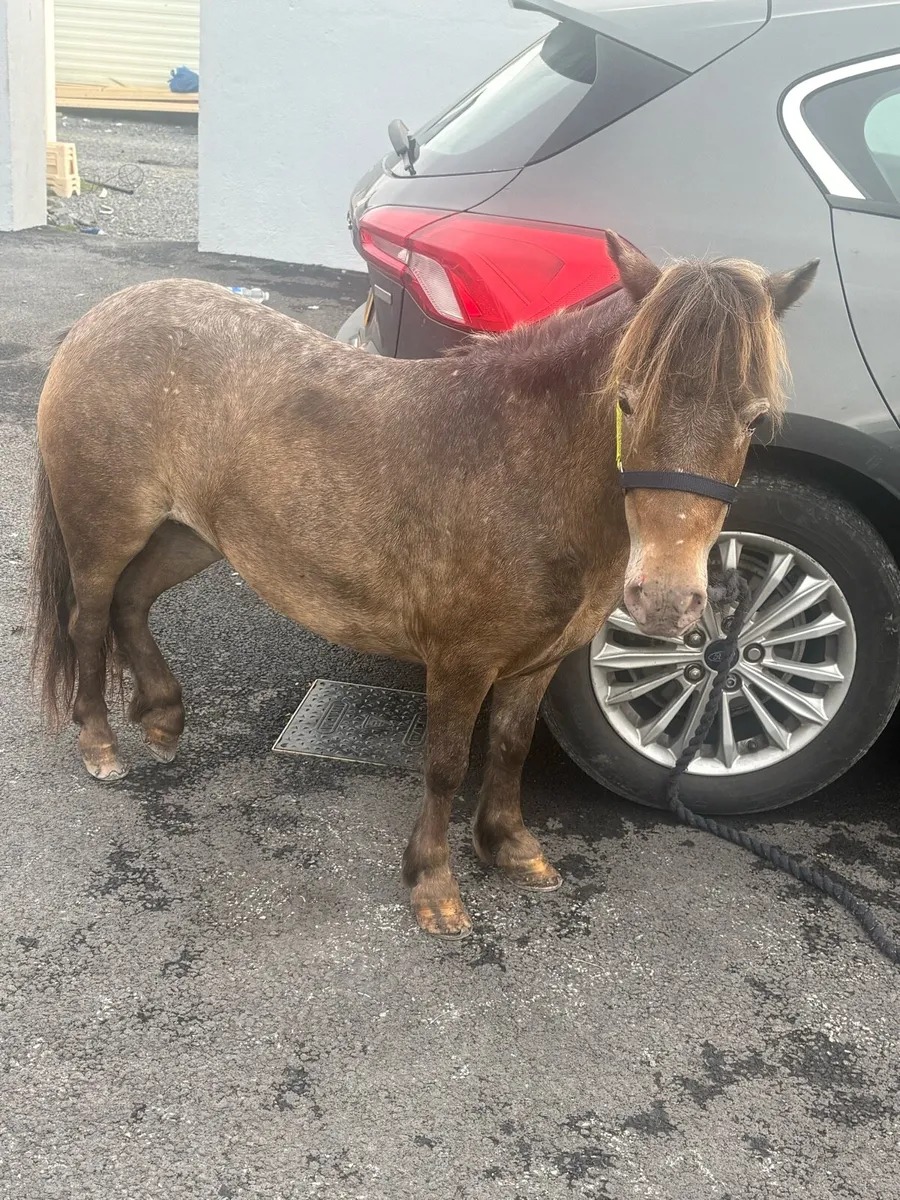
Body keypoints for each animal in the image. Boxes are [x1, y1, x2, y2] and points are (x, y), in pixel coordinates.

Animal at [28, 234, 816, 937]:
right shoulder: (461, 662)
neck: (520, 467)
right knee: (89, 620)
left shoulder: (535, 662)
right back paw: (100, 745)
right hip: (104, 533)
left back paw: (162, 719)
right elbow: (445, 765)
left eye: (753, 420)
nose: (666, 598)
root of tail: (101, 319)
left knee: (134, 602)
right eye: (626, 401)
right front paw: (434, 887)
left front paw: (510, 849)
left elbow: (509, 747)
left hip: (186, 535)